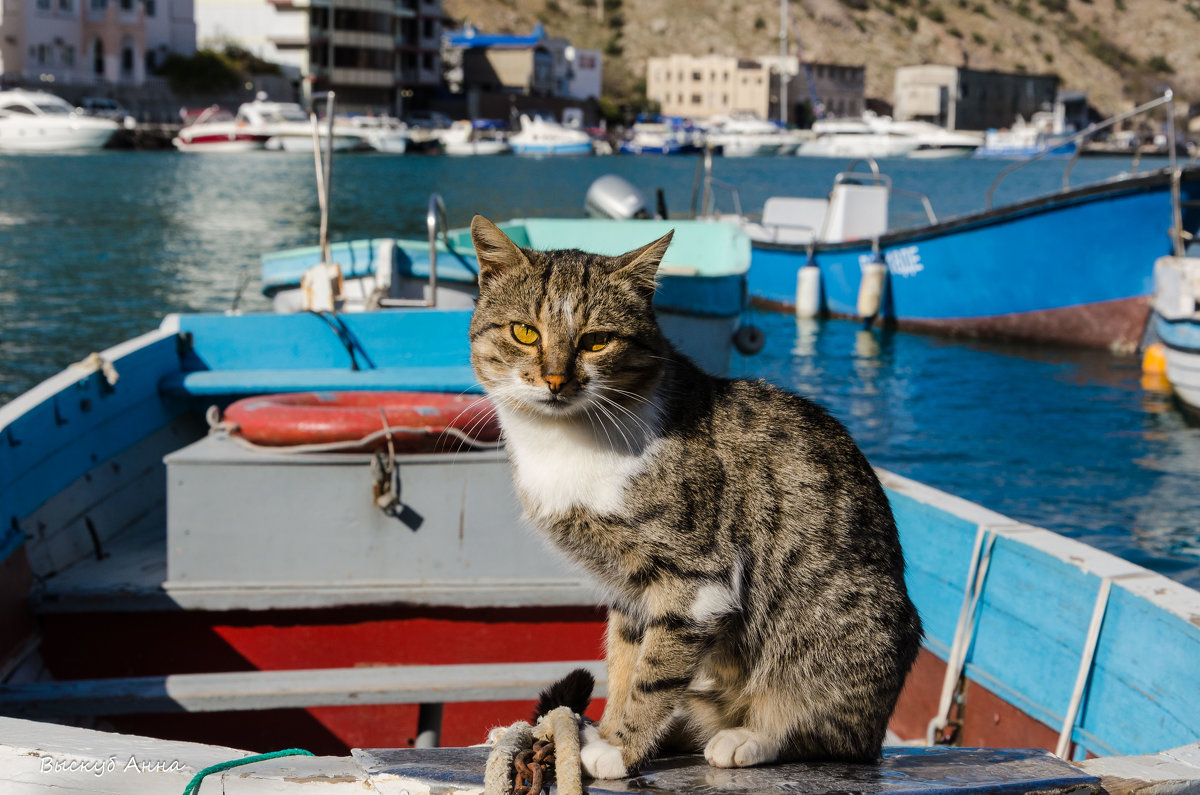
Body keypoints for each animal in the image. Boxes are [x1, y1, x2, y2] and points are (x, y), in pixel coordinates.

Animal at [465, 216, 916, 778]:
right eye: (524, 332)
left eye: (596, 341)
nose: (554, 380)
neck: (566, 441)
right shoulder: (629, 588)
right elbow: (624, 662)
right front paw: (608, 732)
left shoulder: (697, 577)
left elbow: (655, 672)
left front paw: (622, 749)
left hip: (839, 630)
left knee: (833, 733)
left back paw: (749, 736)